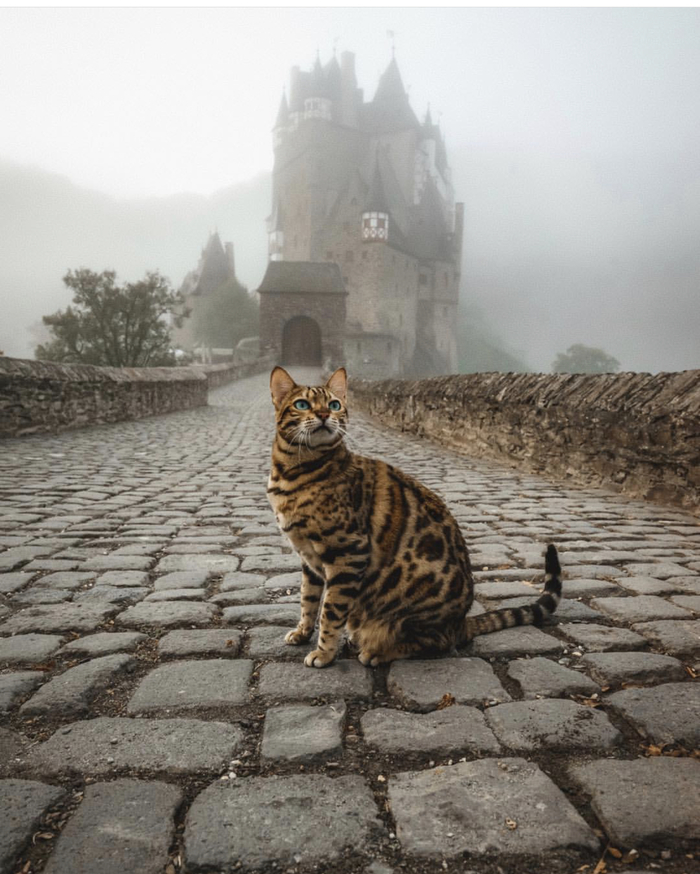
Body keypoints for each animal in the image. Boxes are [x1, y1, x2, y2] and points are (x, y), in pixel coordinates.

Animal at [268, 364, 564, 664]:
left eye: (334, 404)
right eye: (302, 405)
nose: (324, 415)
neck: (293, 472)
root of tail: (461, 623)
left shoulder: (347, 552)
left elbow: (331, 611)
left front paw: (324, 653)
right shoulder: (309, 559)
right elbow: (308, 600)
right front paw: (302, 632)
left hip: (412, 611)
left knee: (437, 643)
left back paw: (377, 651)